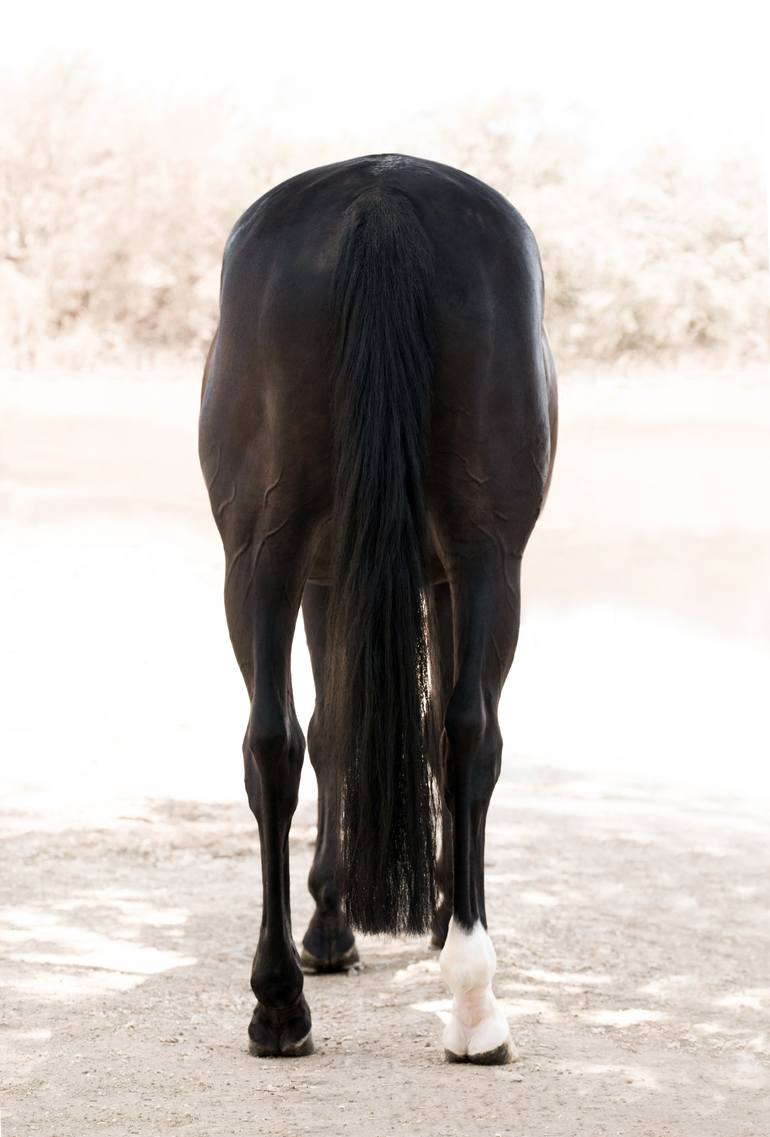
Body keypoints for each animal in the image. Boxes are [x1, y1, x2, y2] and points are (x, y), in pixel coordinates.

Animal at [197, 153, 555, 1064]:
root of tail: (381, 197)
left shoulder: (337, 579)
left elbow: (333, 732)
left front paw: (338, 920)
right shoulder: (424, 578)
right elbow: (395, 731)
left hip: (264, 554)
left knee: (272, 740)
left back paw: (281, 999)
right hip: (485, 555)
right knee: (468, 733)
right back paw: (470, 1000)